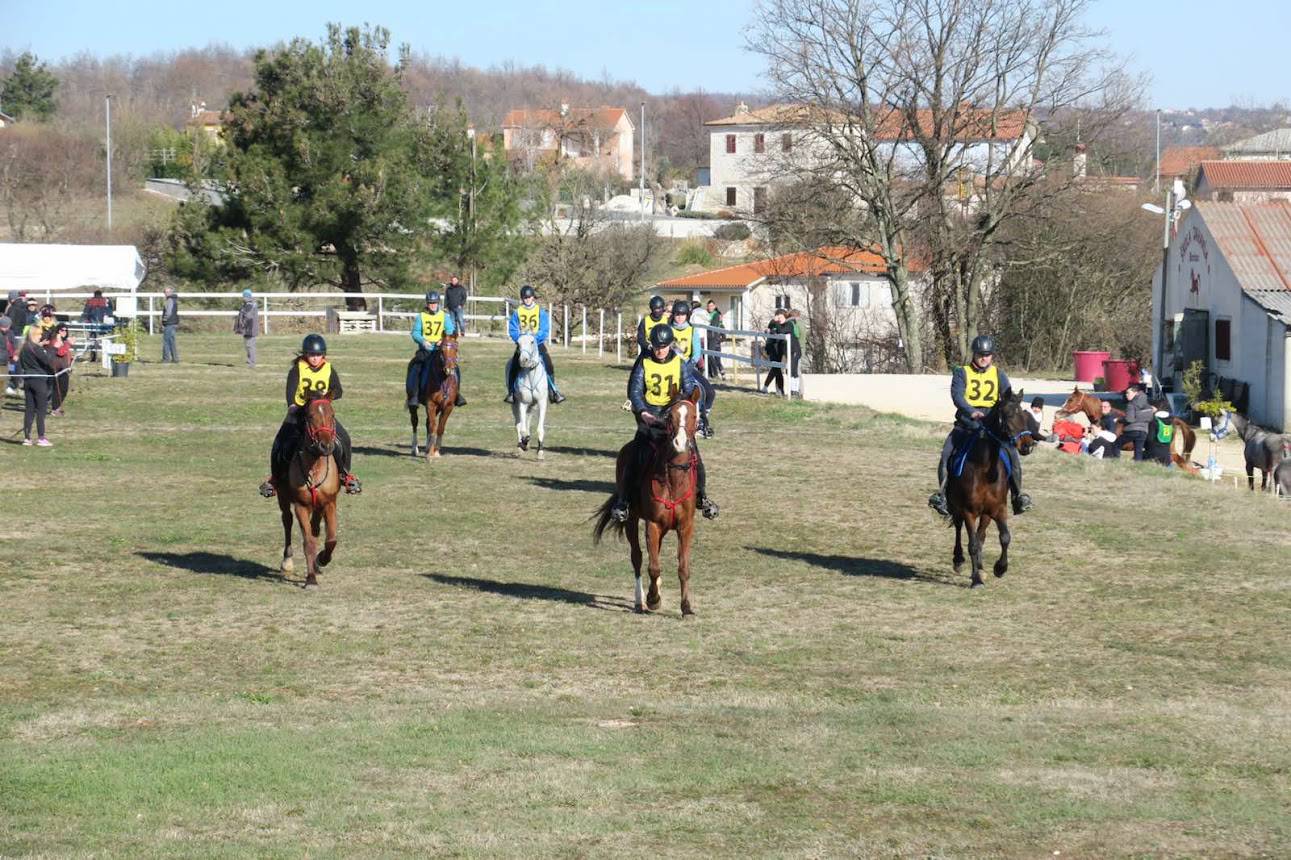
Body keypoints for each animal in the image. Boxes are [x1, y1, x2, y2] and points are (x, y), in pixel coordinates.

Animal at [278, 392, 343, 586]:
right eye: (310, 416)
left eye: (332, 415)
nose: (326, 446)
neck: (315, 465)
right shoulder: (301, 506)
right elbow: (308, 542)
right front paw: (311, 579)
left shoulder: (329, 503)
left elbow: (331, 539)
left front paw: (321, 559)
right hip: (283, 497)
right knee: (287, 520)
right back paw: (287, 561)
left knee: (315, 528)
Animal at [410, 330, 462, 459]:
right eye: (442, 350)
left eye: (456, 349)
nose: (449, 369)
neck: (443, 380)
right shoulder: (431, 404)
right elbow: (433, 426)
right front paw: (430, 454)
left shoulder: (448, 406)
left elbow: (440, 427)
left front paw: (435, 451)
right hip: (413, 404)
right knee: (415, 422)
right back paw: (415, 449)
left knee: (427, 423)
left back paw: (427, 448)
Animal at [596, 387, 707, 617]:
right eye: (670, 417)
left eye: (694, 416)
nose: (680, 443)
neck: (674, 478)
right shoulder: (653, 525)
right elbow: (653, 566)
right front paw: (653, 599)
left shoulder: (685, 526)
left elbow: (683, 568)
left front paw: (686, 607)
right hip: (631, 520)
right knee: (638, 558)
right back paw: (640, 601)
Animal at [945, 384, 1032, 586]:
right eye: (1007, 414)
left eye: (1024, 416)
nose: (1027, 446)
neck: (984, 467)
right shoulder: (969, 511)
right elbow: (972, 544)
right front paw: (977, 579)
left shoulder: (998, 509)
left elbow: (1004, 537)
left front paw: (1000, 568)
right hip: (957, 507)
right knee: (960, 529)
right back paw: (959, 561)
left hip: (985, 514)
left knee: (981, 536)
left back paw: (980, 567)